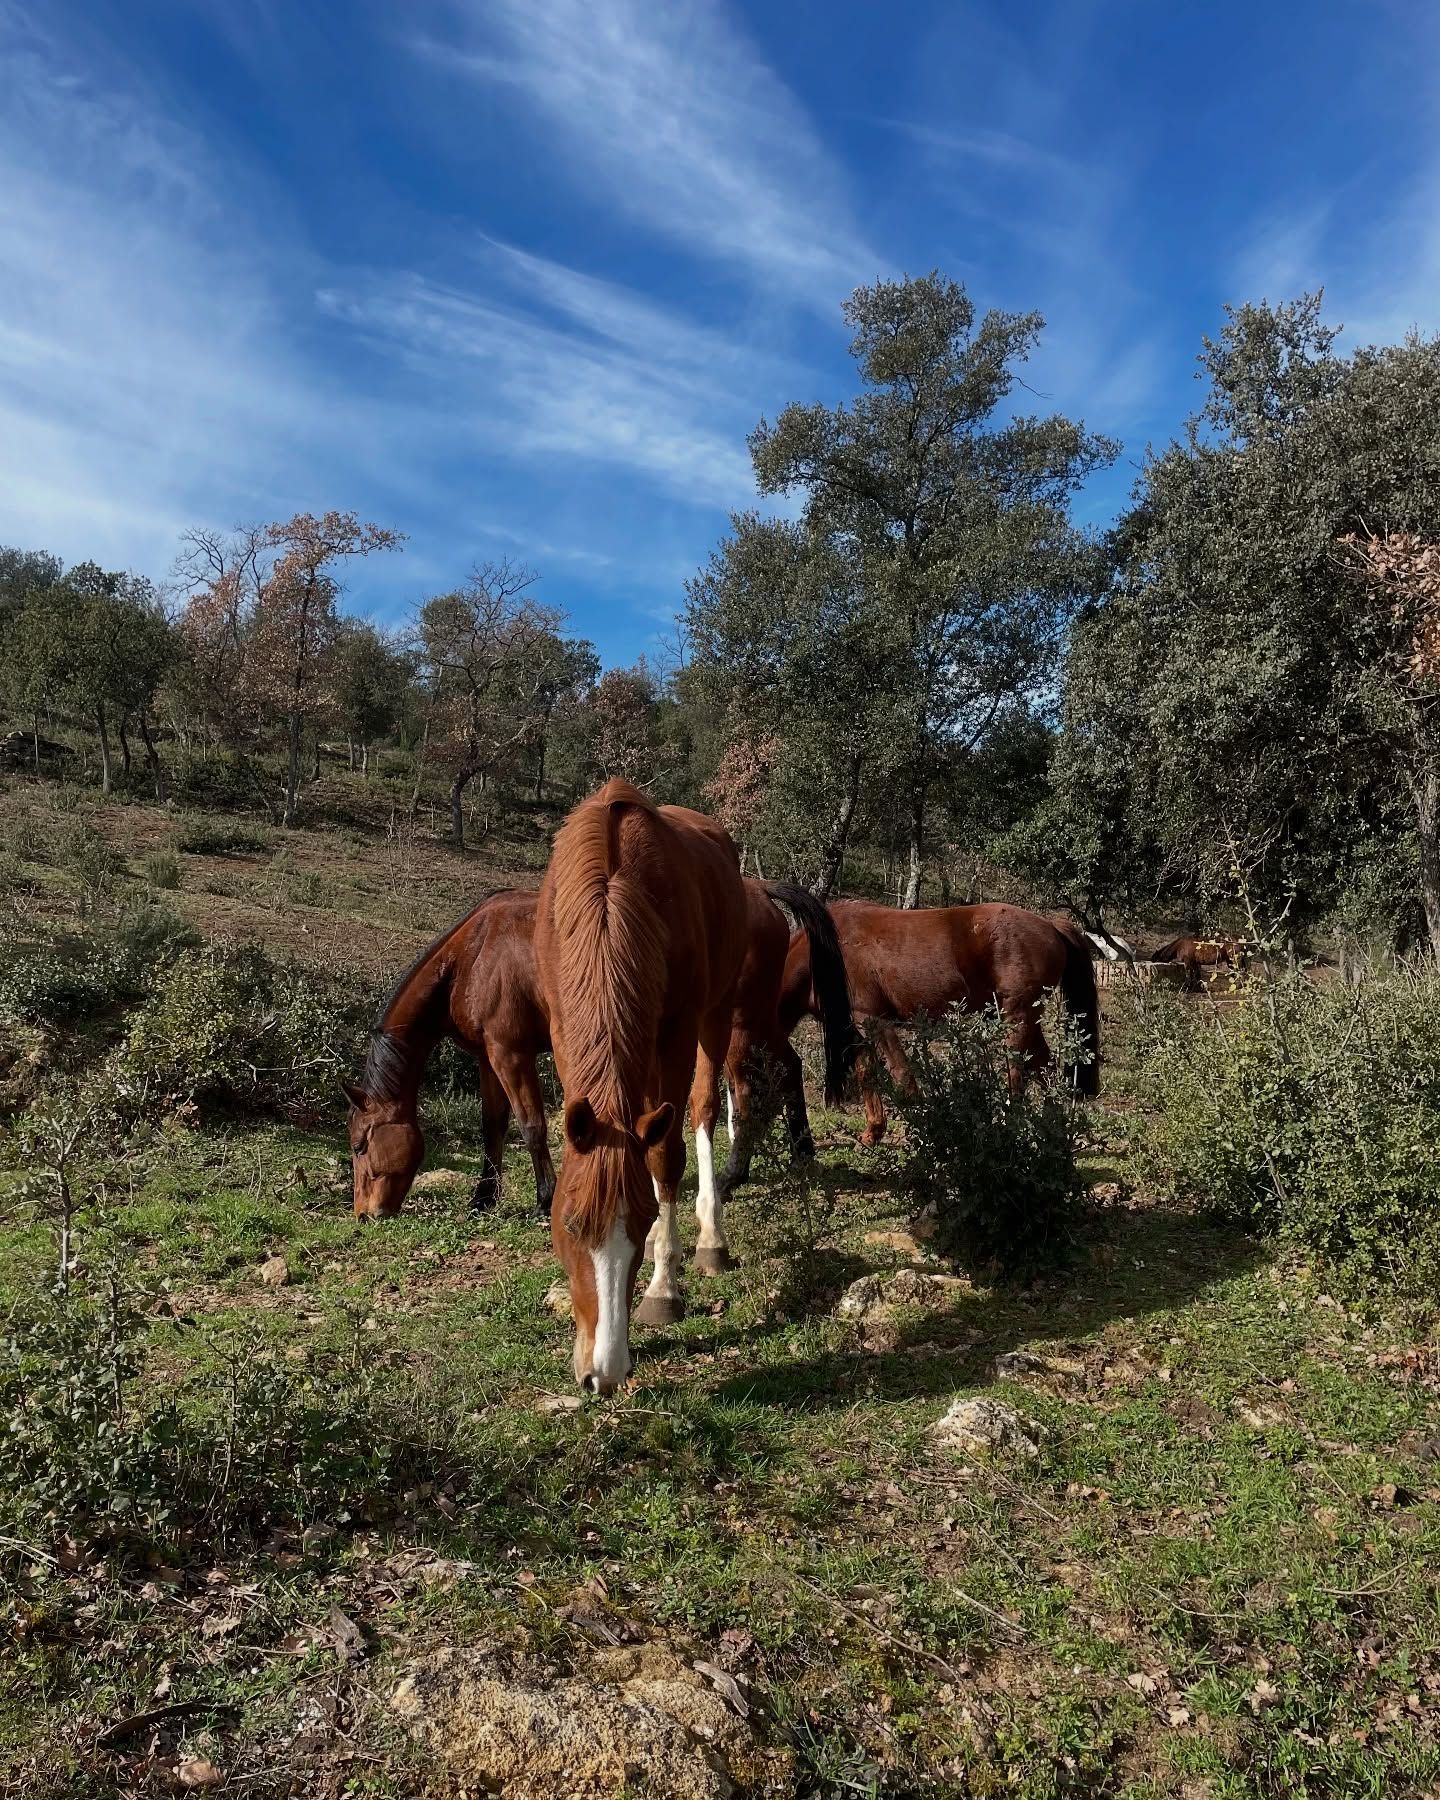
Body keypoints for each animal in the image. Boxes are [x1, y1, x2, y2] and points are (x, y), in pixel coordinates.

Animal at [344, 879, 856, 1224]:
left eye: (359, 1145)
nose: (365, 1213)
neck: (474, 953)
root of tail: (759, 890)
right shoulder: (489, 1057)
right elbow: (493, 1127)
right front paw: (483, 1197)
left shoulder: (512, 1054)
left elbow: (531, 1126)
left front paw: (544, 1198)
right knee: (789, 1067)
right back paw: (801, 1153)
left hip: (735, 1024)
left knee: (751, 1090)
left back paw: (734, 1176)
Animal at [538, 780, 773, 1394]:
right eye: (570, 1224)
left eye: (642, 1222)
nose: (605, 1372)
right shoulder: (562, 1028)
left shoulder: (678, 1031)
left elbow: (666, 1155)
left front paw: (663, 1288)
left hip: (716, 1015)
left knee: (703, 1111)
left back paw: (711, 1237)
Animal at [779, 899, 1100, 1146]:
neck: (824, 952)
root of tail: (1050, 926)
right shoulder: (856, 1027)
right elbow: (867, 1074)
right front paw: (873, 1132)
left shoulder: (872, 1020)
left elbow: (901, 1073)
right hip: (1028, 1020)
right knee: (1045, 1068)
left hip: (1017, 1017)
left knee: (1018, 1070)